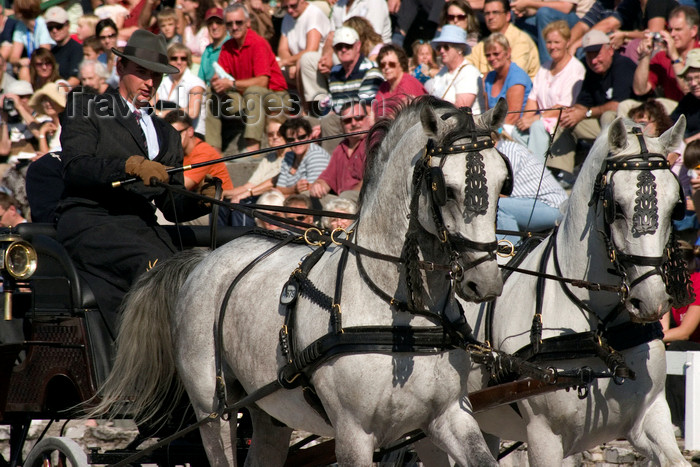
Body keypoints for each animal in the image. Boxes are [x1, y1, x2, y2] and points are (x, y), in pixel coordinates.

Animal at [95, 97, 516, 466]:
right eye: (446, 188)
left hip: (268, 410)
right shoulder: (353, 433)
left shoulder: (449, 415)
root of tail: (204, 258)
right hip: (212, 411)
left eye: (502, 183)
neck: (400, 313)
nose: (486, 281)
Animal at [460, 116, 688, 464]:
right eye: (616, 207)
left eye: (676, 207)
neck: (599, 331)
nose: (651, 300)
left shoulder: (649, 417)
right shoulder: (545, 438)